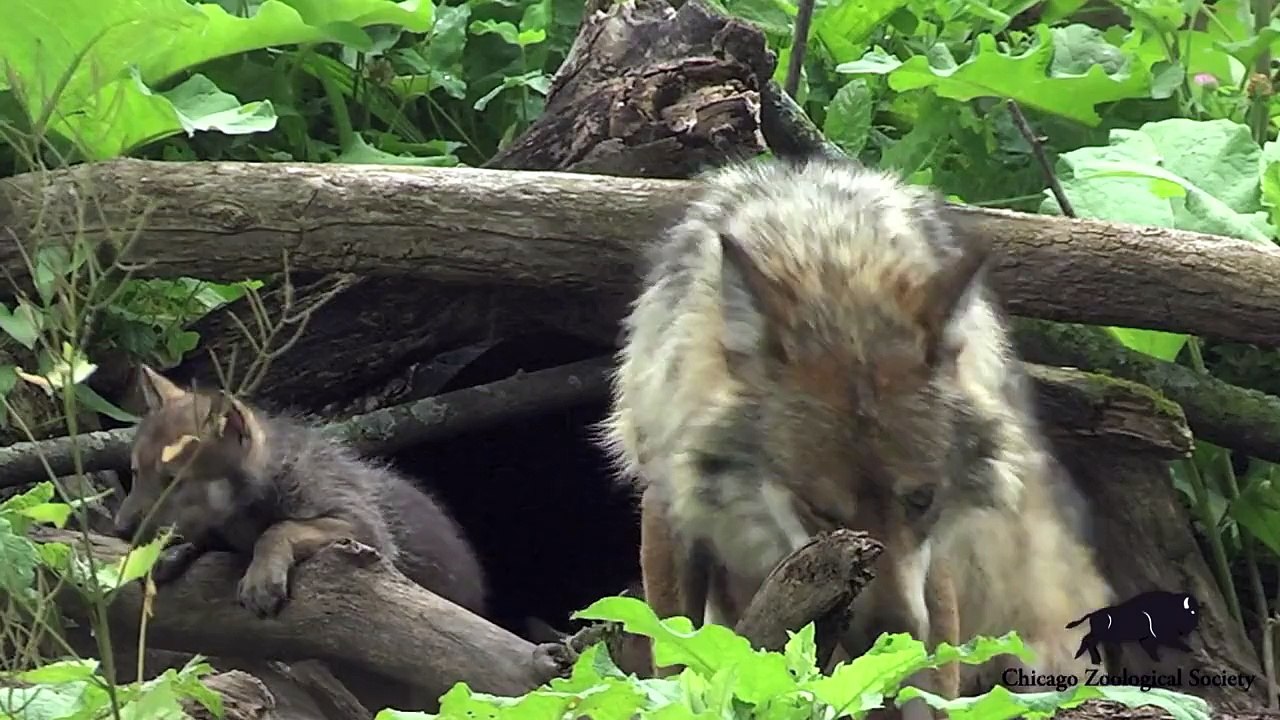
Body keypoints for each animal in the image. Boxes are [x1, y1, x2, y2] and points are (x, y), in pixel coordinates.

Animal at [596, 155, 1114, 712]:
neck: (832, 265)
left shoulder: (936, 565)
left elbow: (935, 684)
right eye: (821, 511)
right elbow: (674, 651)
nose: (893, 635)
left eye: (922, 500)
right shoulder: (669, 513)